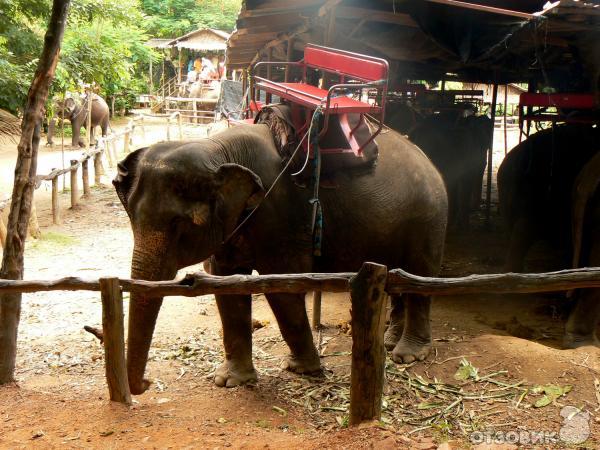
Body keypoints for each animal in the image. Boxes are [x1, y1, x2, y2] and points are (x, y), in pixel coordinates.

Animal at [115, 121, 448, 396]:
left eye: (181, 224)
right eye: (130, 216)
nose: (146, 384)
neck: (218, 148)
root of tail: (429, 160)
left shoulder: (280, 216)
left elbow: (282, 286)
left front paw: (303, 370)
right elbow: (225, 285)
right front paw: (231, 381)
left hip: (428, 218)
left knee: (421, 276)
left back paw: (408, 354)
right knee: (398, 277)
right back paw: (390, 341)